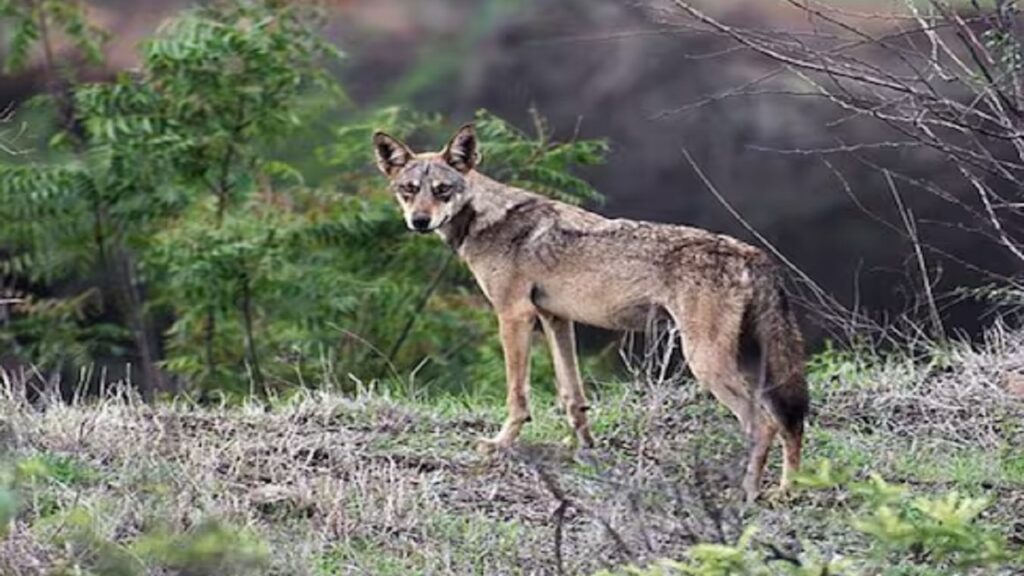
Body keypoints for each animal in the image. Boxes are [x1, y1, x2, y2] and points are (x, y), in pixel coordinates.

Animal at [372, 124, 809, 501]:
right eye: (409, 189)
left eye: (442, 190)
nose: (420, 221)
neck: (487, 219)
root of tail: (754, 254)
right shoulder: (555, 319)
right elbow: (573, 395)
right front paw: (582, 449)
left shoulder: (513, 315)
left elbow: (517, 396)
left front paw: (499, 445)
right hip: (753, 364)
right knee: (790, 423)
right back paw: (786, 490)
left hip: (705, 362)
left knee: (763, 424)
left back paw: (747, 493)